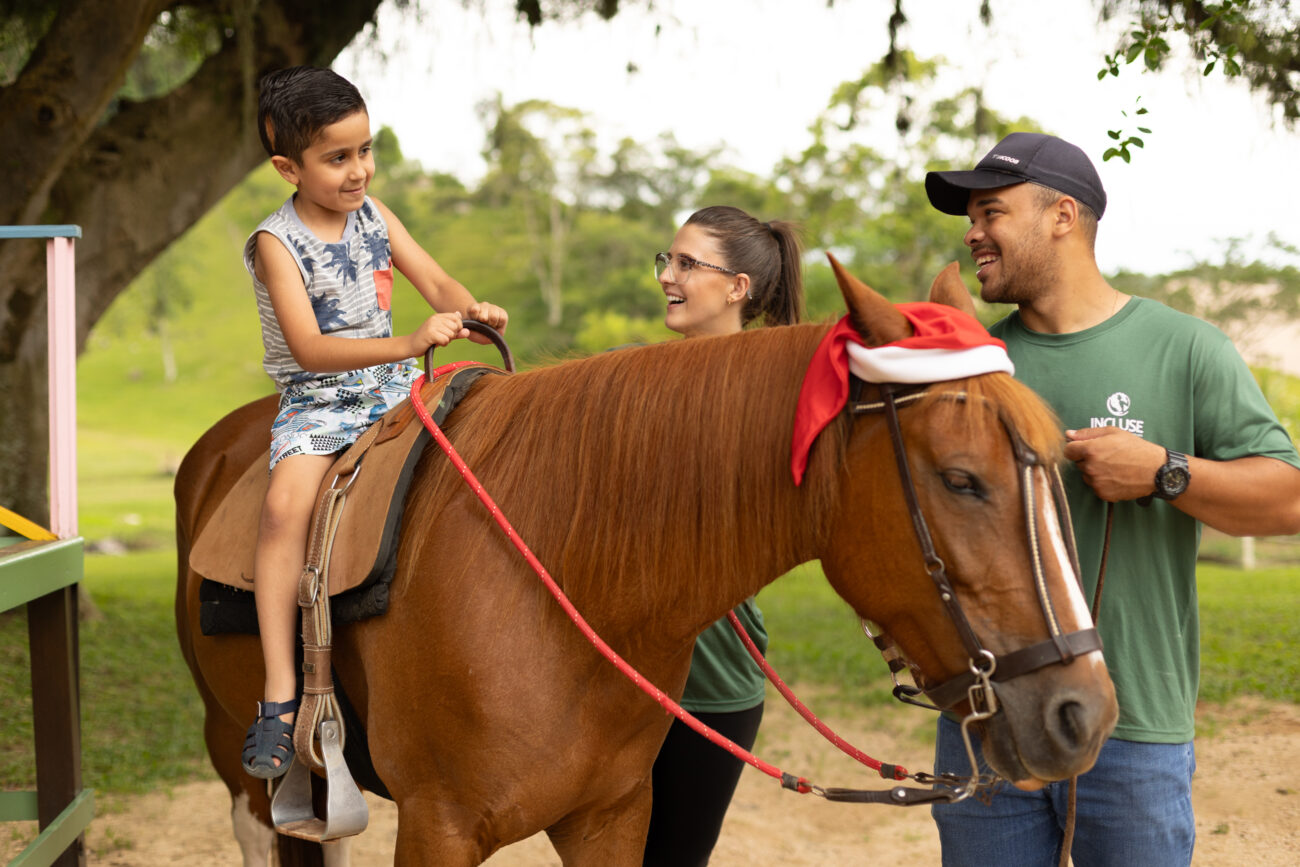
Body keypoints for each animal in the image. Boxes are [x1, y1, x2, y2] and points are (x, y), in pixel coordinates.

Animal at [175, 266, 1118, 867]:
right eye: (962, 480)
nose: (1085, 712)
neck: (558, 580)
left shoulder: (613, 816)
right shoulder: (437, 828)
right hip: (236, 749)